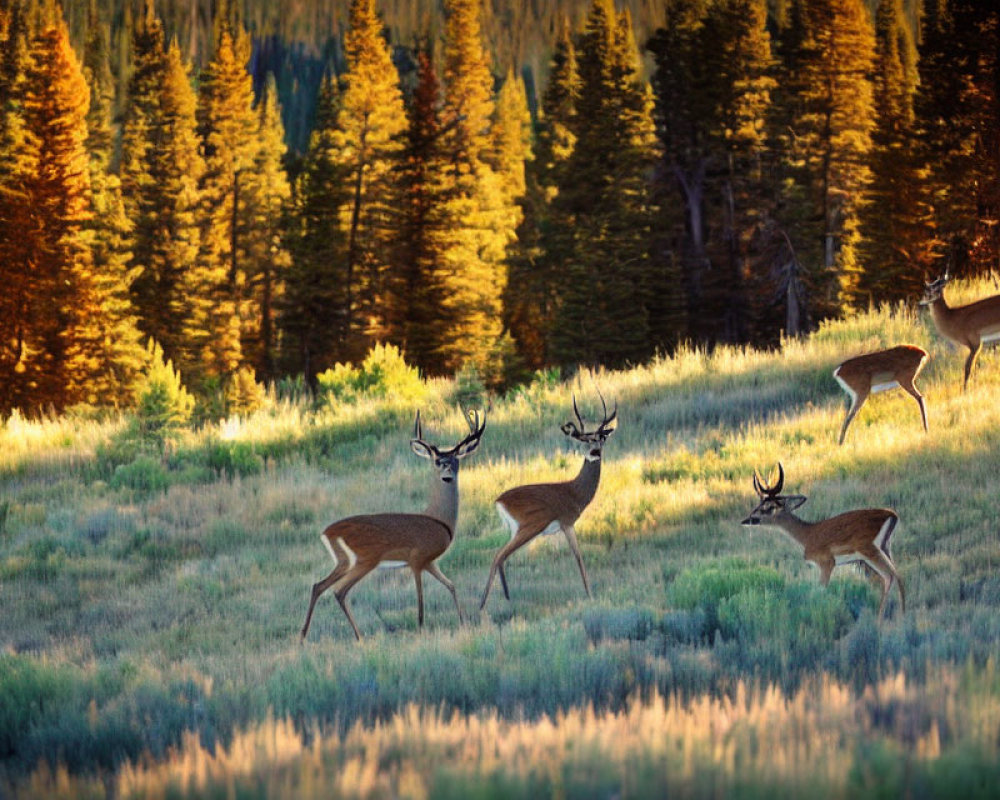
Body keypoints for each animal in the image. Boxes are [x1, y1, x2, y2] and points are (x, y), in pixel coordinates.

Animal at [298, 410, 486, 640]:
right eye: (437, 461)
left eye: (455, 460)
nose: (447, 473)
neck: (439, 521)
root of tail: (327, 533)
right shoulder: (417, 559)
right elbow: (421, 601)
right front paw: (421, 629)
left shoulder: (430, 562)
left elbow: (451, 585)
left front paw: (464, 622)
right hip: (366, 560)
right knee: (339, 590)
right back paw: (359, 636)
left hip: (344, 562)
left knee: (319, 586)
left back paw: (303, 636)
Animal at [478, 390, 616, 608]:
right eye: (586, 441)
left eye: (601, 439)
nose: (595, 452)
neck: (575, 492)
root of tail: (499, 501)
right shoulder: (567, 522)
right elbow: (579, 558)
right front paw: (590, 594)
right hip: (530, 525)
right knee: (499, 555)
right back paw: (486, 603)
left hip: (518, 529)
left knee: (500, 555)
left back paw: (500, 598)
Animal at [744, 462, 908, 620]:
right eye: (759, 504)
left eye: (769, 506)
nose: (748, 519)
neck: (807, 535)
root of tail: (892, 515)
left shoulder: (827, 562)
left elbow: (820, 590)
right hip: (884, 548)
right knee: (896, 575)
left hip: (869, 550)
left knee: (890, 576)